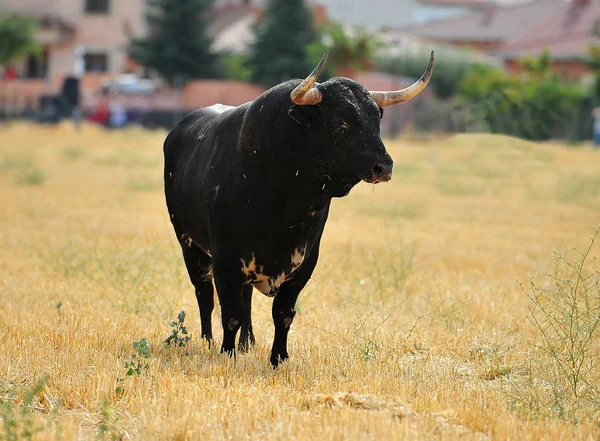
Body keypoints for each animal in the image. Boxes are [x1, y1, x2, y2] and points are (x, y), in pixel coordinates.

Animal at [164, 49, 434, 366]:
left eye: (376, 118)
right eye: (340, 121)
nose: (384, 166)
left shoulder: (305, 262)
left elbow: (282, 313)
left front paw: (278, 358)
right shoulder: (225, 259)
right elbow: (230, 314)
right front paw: (226, 354)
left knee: (245, 298)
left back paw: (248, 342)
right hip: (188, 243)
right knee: (204, 294)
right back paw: (208, 341)